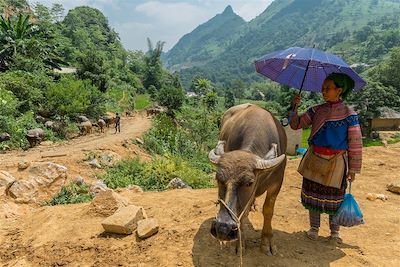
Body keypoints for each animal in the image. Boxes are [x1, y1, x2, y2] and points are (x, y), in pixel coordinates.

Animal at [208, 103, 286, 256]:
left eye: (249, 183)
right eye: (218, 179)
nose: (223, 228)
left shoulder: (276, 184)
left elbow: (268, 210)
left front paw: (267, 242)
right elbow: (242, 214)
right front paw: (240, 244)